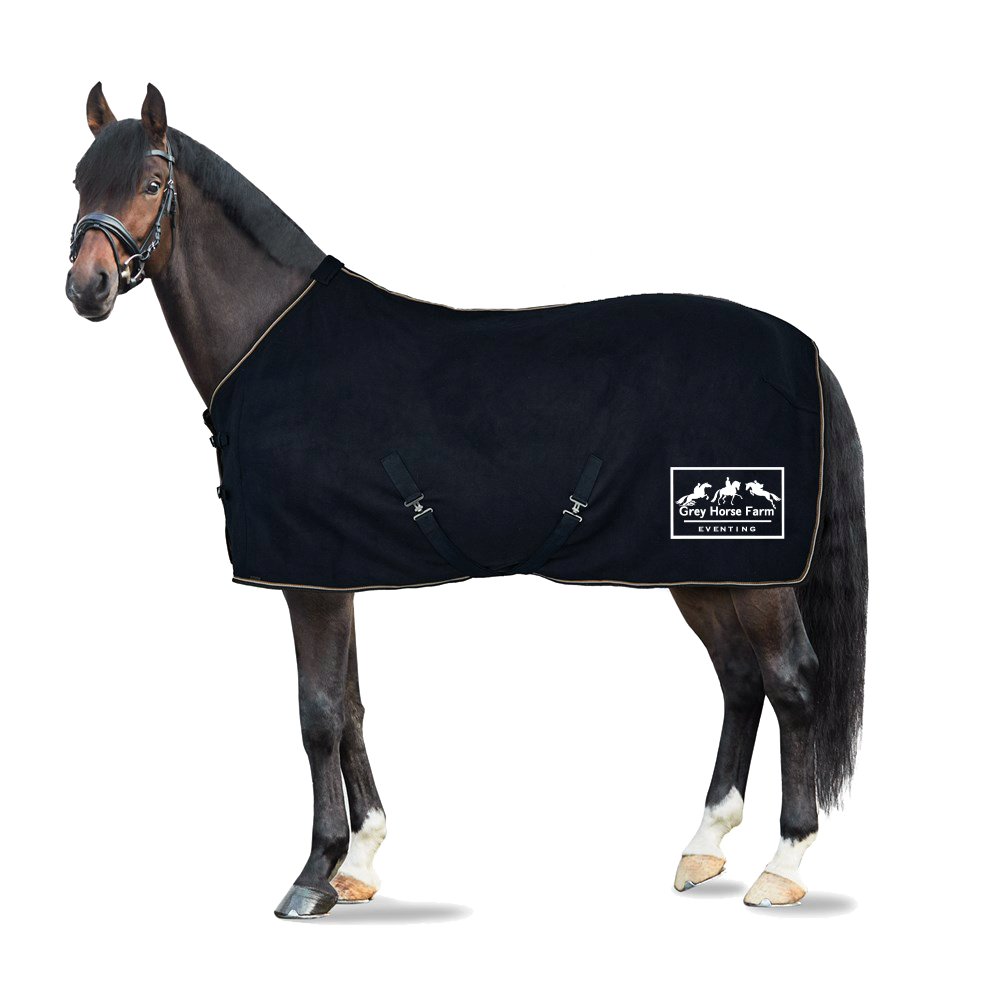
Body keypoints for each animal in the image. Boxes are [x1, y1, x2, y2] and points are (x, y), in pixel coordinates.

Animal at [66, 83, 868, 918]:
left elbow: (318, 713)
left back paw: (783, 865)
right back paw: (703, 850)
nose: (87, 288)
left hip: (755, 573)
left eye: (150, 184)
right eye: (81, 184)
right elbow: (351, 707)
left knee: (792, 683)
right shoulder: (336, 573)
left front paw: (313, 875)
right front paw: (360, 861)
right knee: (742, 681)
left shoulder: (311, 581)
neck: (274, 342)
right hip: (705, 570)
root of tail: (802, 350)